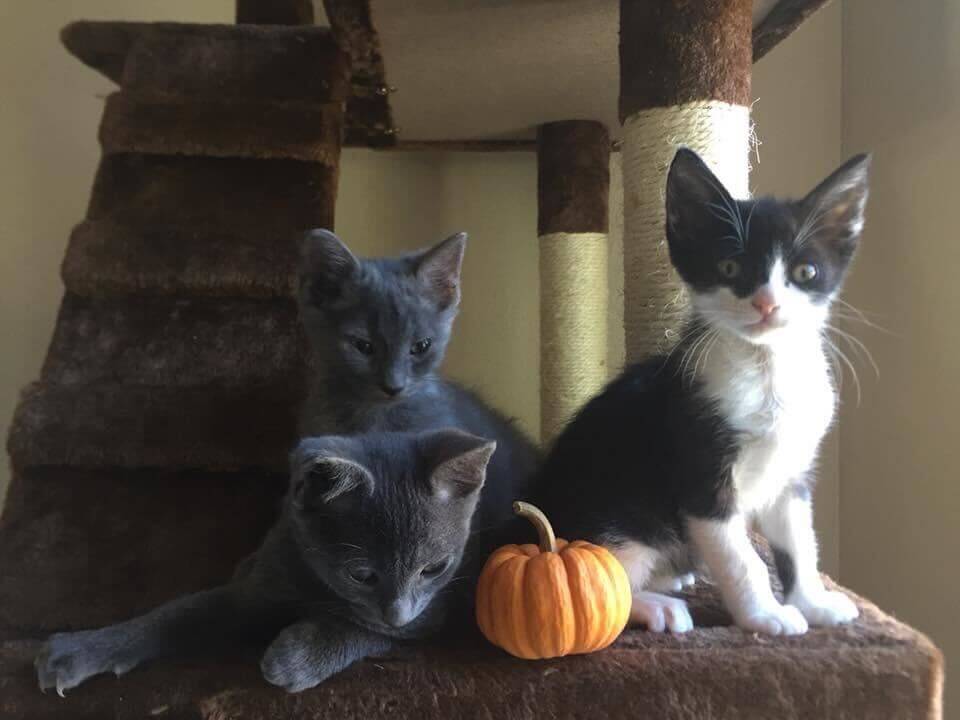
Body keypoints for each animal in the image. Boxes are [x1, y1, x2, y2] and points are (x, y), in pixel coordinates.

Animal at [35, 430, 502, 696]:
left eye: (433, 569)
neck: (316, 583)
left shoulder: (432, 613)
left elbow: (364, 628)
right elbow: (174, 613)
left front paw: (297, 656)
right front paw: (81, 650)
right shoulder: (255, 589)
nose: (397, 613)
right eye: (361, 575)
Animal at [528, 148, 872, 636]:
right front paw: (764, 615)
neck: (765, 370)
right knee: (594, 584)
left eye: (805, 272)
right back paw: (656, 605)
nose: (767, 304)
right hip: (619, 517)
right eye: (729, 267)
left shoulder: (791, 472)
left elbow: (800, 542)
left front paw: (812, 601)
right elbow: (741, 557)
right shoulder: (700, 470)